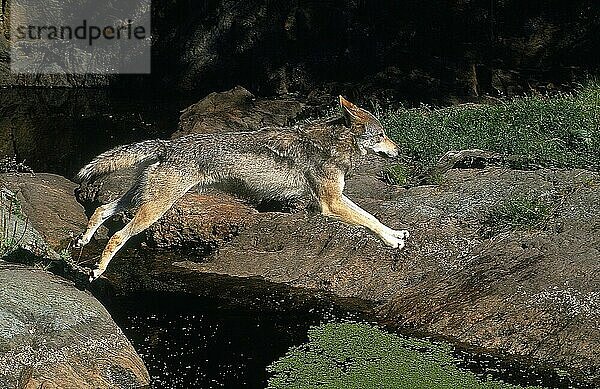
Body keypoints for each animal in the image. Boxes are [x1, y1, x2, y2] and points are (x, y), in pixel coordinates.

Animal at [76, 95, 408, 280]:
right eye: (381, 135)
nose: (400, 150)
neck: (332, 144)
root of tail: (168, 145)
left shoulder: (335, 199)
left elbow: (372, 217)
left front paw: (396, 235)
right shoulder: (331, 203)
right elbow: (368, 219)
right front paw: (392, 241)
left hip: (140, 200)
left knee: (102, 208)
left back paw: (83, 240)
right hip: (153, 210)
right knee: (117, 236)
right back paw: (98, 270)